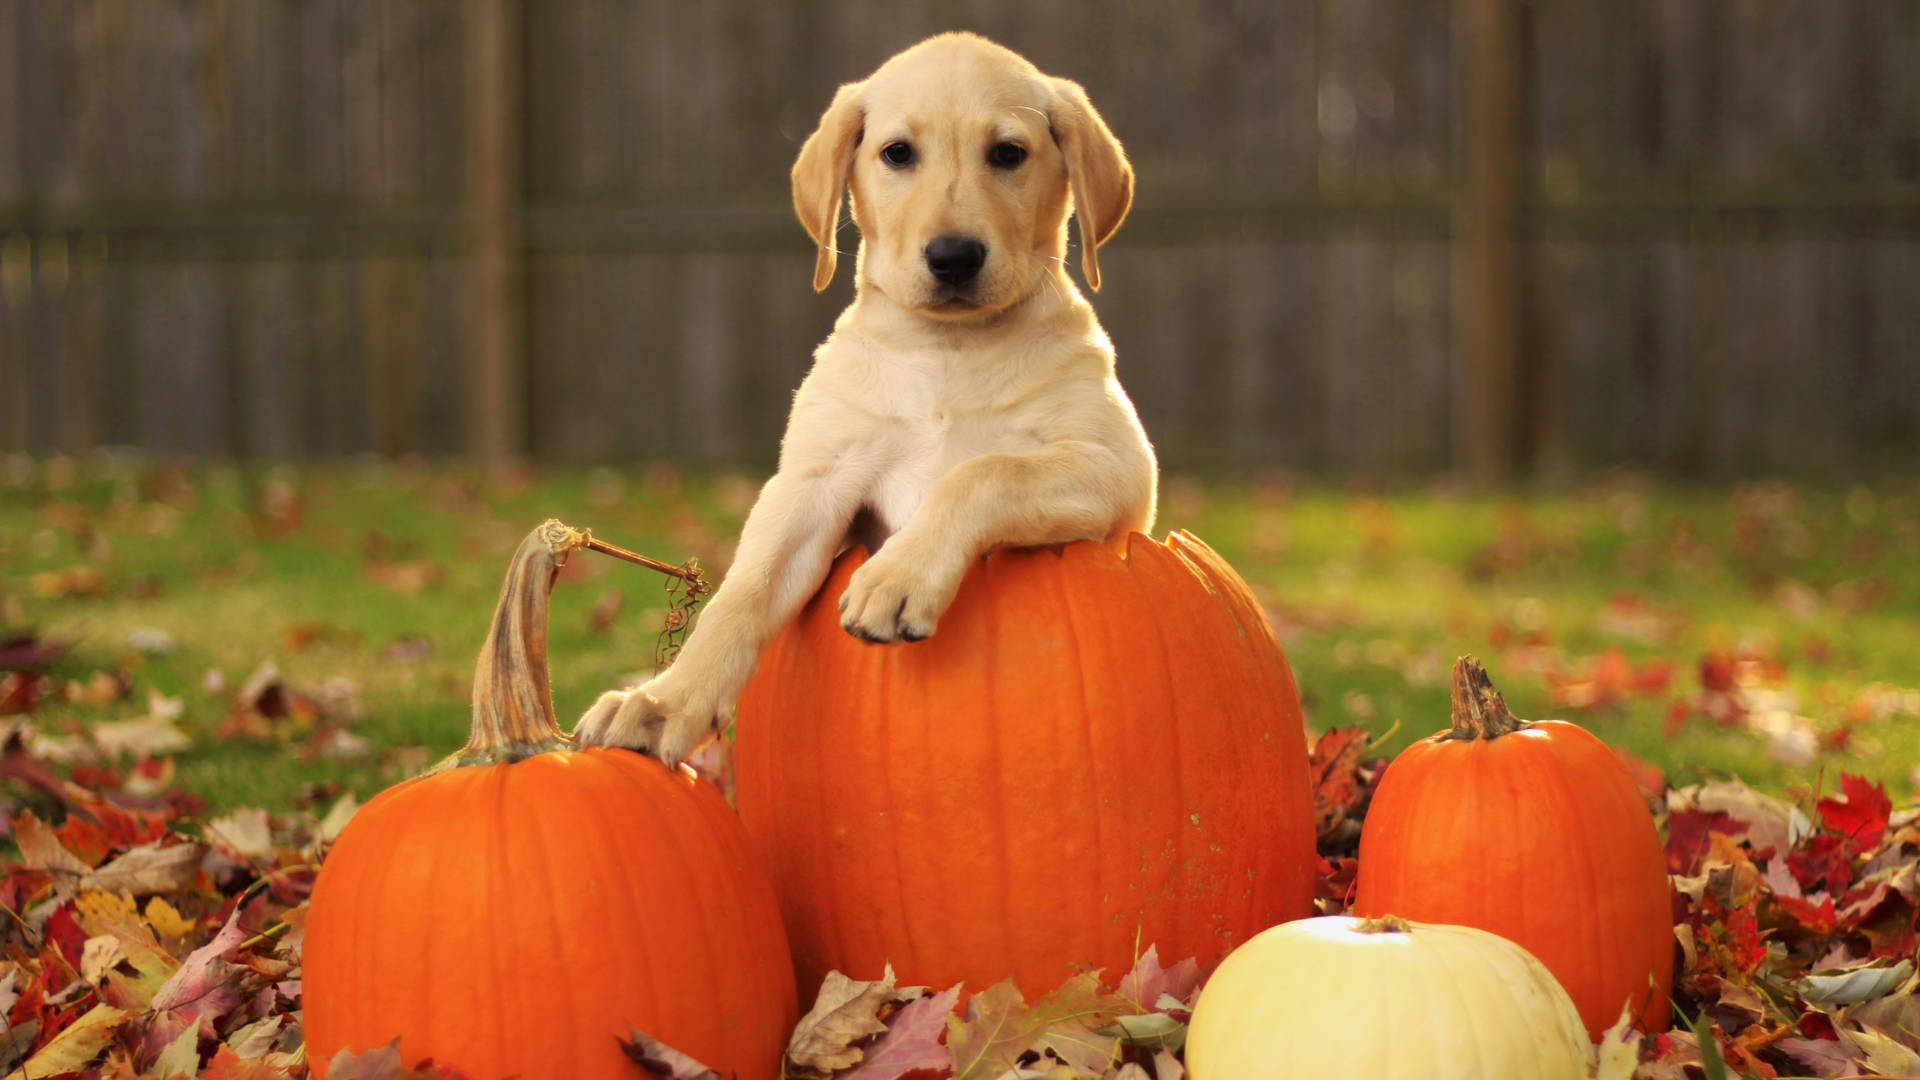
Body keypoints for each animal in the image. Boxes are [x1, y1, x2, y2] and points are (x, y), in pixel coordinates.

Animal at [576, 31, 1152, 757]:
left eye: (1009, 154)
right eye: (897, 153)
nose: (954, 257)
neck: (948, 351)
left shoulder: (1118, 468)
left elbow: (985, 471)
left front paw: (895, 578)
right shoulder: (814, 482)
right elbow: (743, 590)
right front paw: (663, 701)